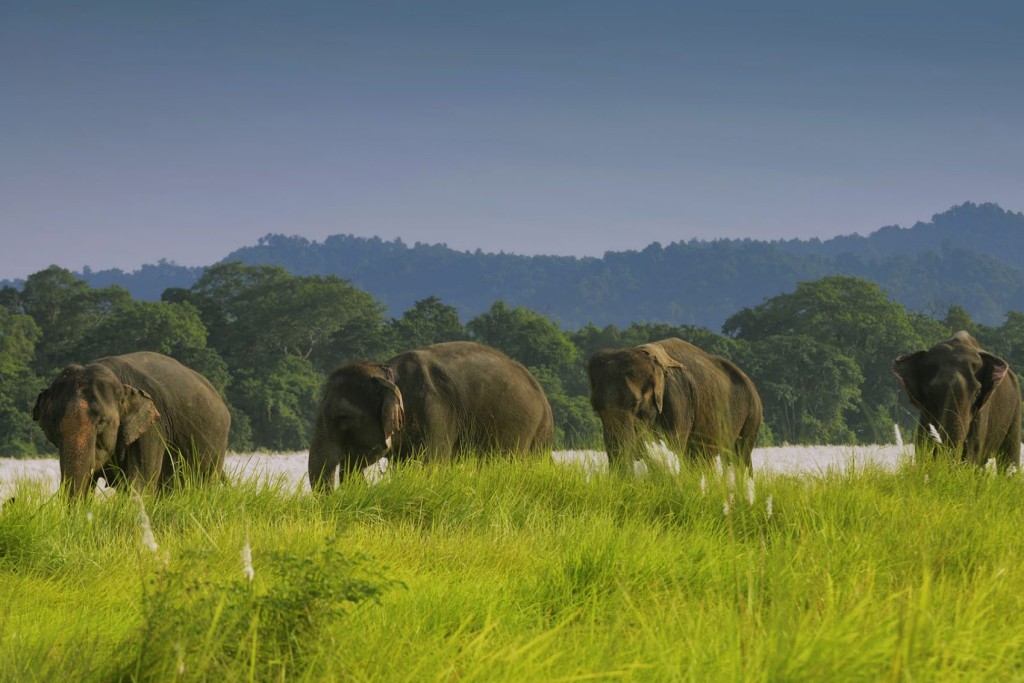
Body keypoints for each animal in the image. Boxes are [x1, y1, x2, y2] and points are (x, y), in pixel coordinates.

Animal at [588, 338, 763, 470]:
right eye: (596, 407)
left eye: (635, 404)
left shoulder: (678, 401)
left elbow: (671, 447)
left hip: (753, 416)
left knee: (739, 456)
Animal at [893, 330, 1021, 467]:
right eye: (931, 392)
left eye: (977, 393)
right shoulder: (925, 415)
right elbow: (923, 446)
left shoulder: (982, 413)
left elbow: (973, 451)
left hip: (1015, 409)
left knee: (1009, 458)